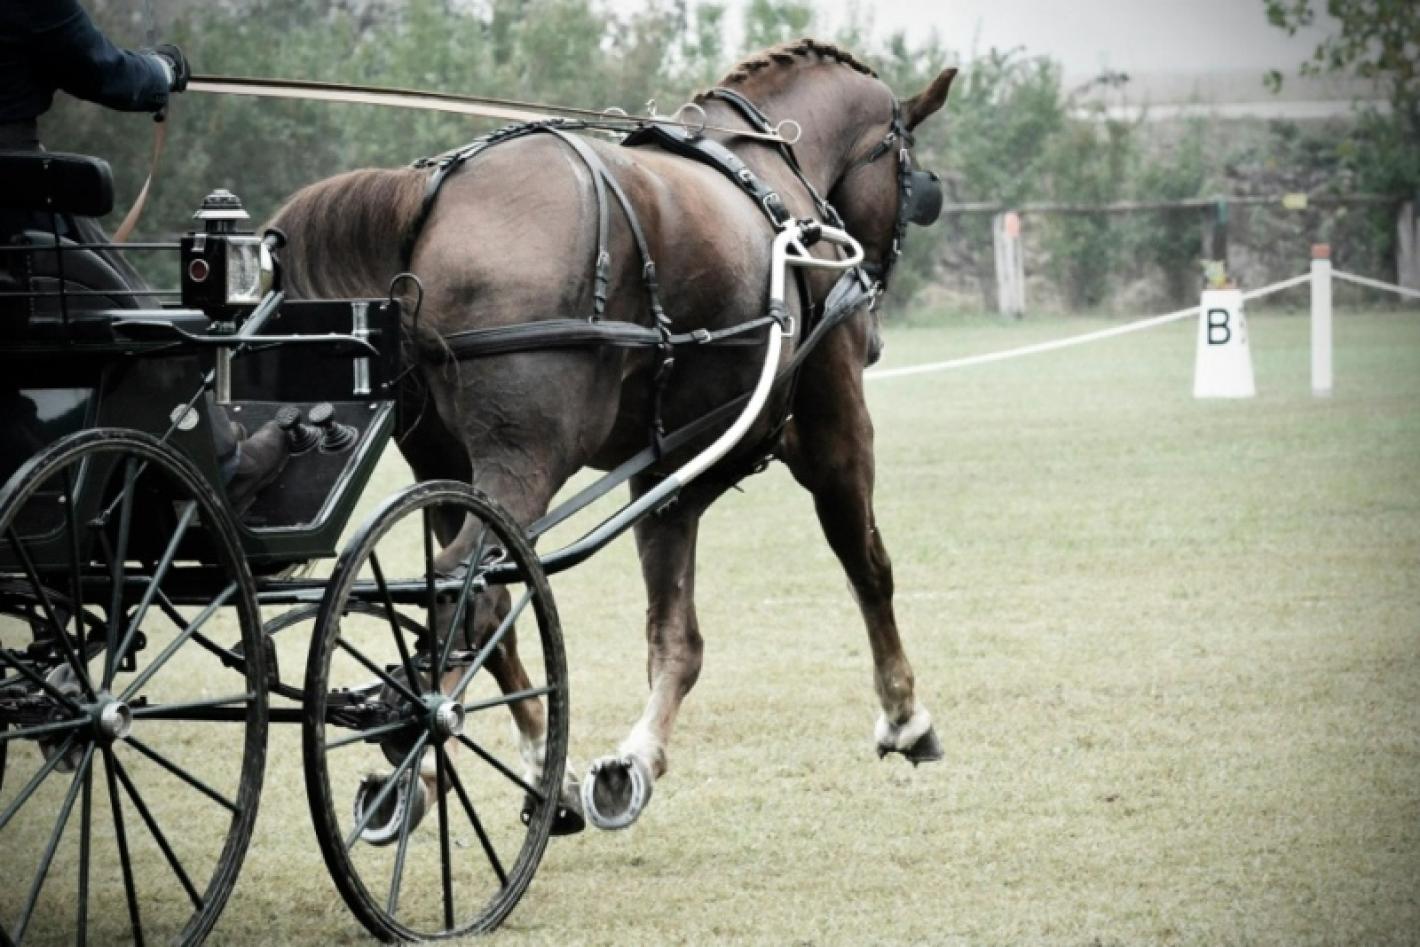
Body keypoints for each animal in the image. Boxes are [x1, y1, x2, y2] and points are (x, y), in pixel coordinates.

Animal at [268, 40, 954, 834]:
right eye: (908, 168)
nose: (872, 333)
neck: (777, 179)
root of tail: (429, 199)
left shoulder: (665, 479)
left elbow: (675, 637)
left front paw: (632, 764)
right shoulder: (835, 431)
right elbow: (868, 566)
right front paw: (905, 717)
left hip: (445, 467)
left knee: (467, 595)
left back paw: (496, 771)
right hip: (524, 460)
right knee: (477, 594)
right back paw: (485, 746)